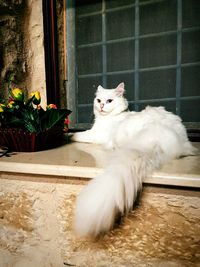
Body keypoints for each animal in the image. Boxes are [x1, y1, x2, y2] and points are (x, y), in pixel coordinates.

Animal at [71, 82, 195, 238]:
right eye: (98, 100)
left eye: (109, 101)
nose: (101, 106)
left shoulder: (96, 135)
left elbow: (79, 135)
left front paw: (69, 135)